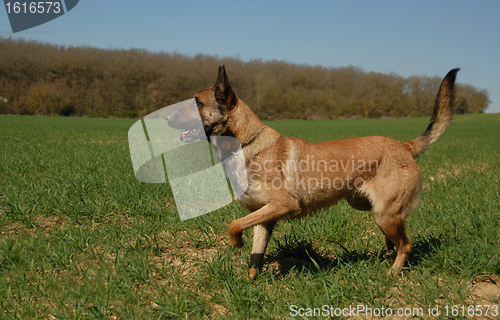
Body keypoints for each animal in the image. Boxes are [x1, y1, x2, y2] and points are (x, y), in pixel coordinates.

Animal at [166, 65, 458, 278]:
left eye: (196, 102)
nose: (166, 118)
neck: (245, 144)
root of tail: (404, 145)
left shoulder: (283, 204)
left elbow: (234, 224)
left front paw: (236, 242)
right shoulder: (263, 218)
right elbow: (255, 256)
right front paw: (249, 284)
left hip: (385, 213)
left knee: (406, 244)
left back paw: (393, 273)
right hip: (369, 207)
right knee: (397, 238)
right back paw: (388, 254)